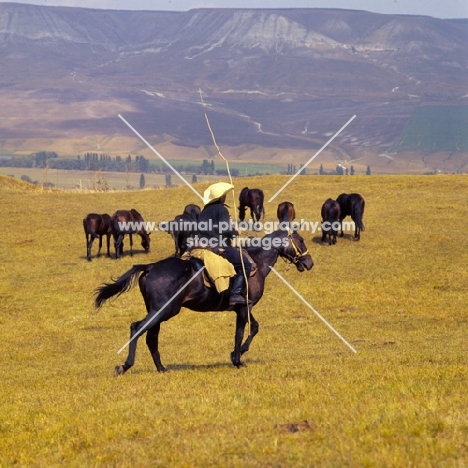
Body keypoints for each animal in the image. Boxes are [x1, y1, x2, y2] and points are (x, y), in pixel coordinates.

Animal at [94, 229, 314, 374]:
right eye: (301, 240)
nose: (309, 263)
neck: (256, 262)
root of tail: (150, 267)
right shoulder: (244, 307)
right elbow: (241, 333)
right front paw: (237, 359)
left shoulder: (243, 307)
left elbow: (254, 327)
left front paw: (237, 355)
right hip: (164, 310)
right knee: (137, 328)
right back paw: (125, 365)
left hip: (158, 312)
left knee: (151, 337)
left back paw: (161, 368)